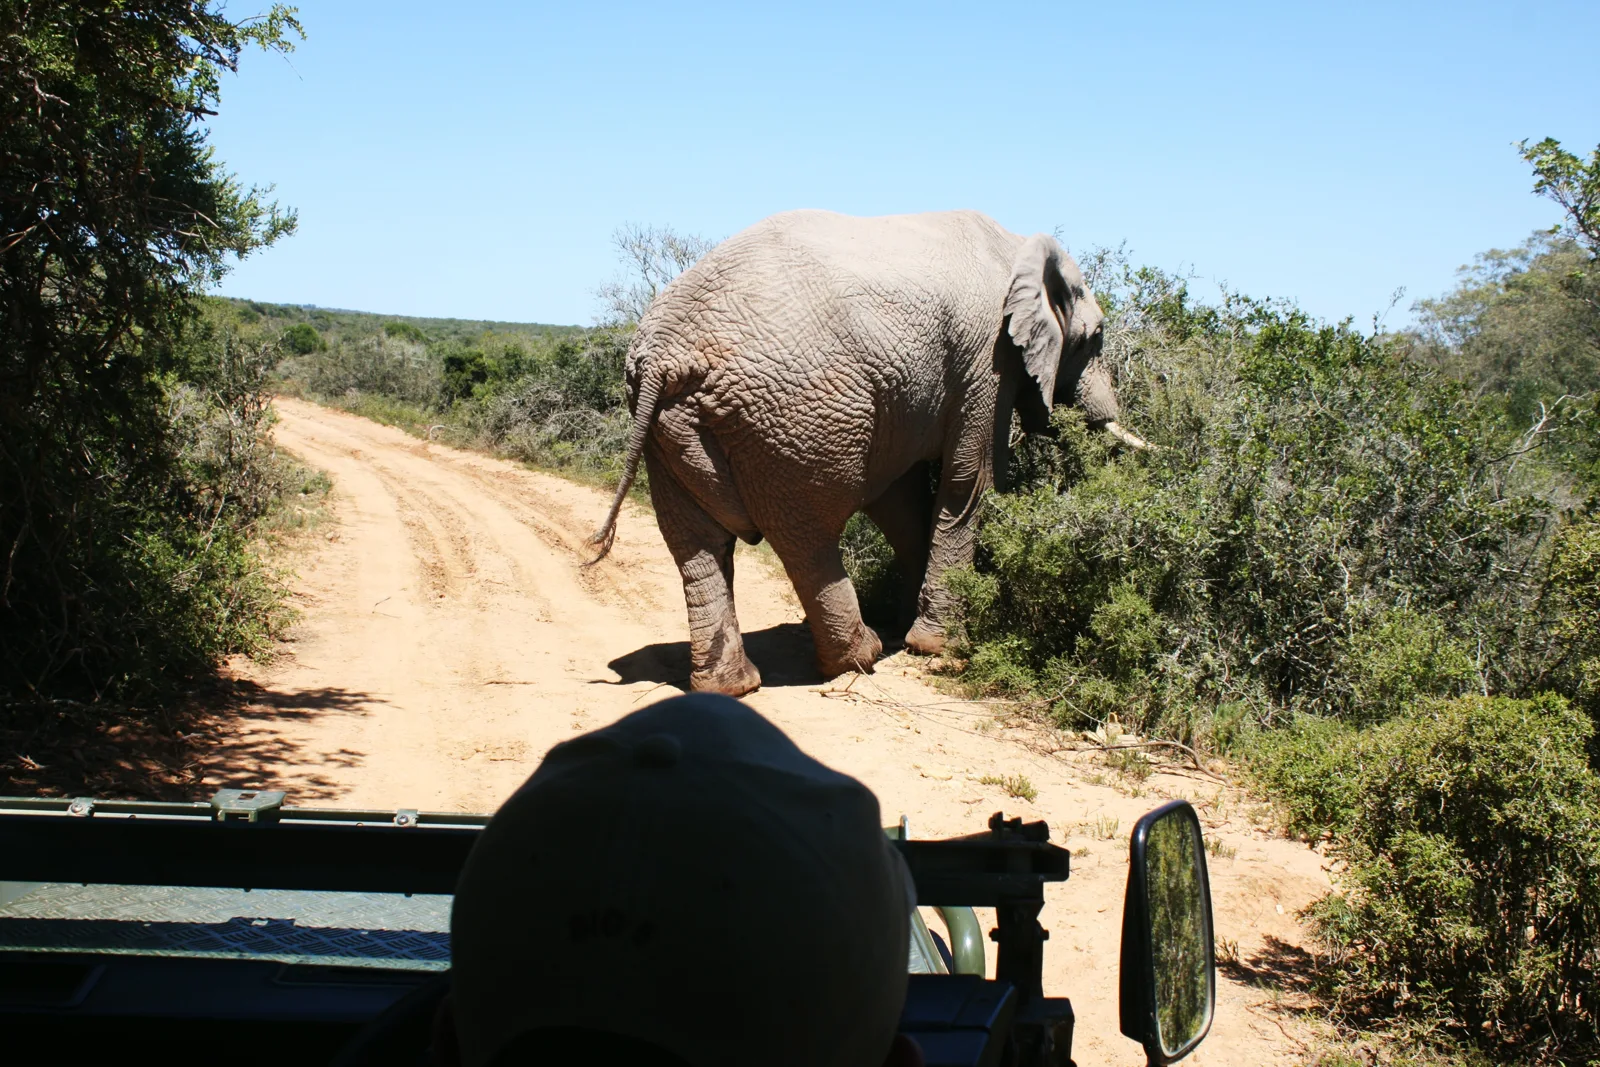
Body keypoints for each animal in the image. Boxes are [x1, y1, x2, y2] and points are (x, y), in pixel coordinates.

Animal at [589, 209, 1152, 696]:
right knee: (808, 534)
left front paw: (911, 625)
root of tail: (663, 357)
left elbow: (901, 500)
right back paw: (861, 657)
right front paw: (939, 646)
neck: (1018, 247)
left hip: (672, 429)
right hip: (795, 417)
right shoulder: (988, 360)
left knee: (697, 544)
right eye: (1096, 338)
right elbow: (969, 481)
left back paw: (733, 687)